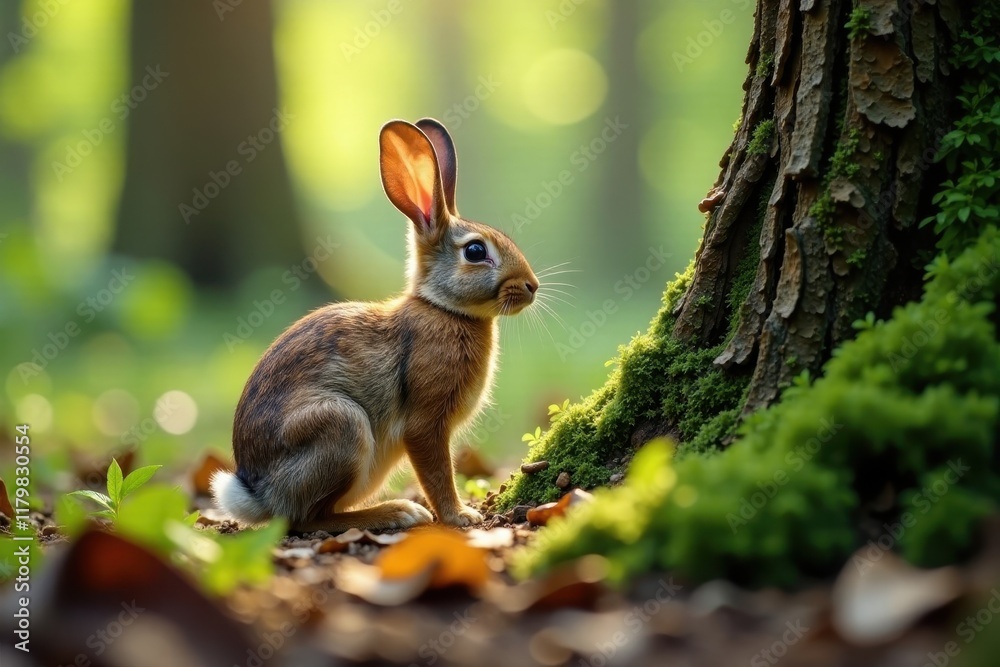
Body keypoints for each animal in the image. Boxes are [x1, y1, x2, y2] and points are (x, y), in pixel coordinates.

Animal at [211, 118, 539, 532]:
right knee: (306, 518)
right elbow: (435, 472)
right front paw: (460, 516)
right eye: (476, 251)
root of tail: (254, 492)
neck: (443, 308)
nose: (532, 286)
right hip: (342, 427)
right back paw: (397, 512)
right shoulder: (424, 423)